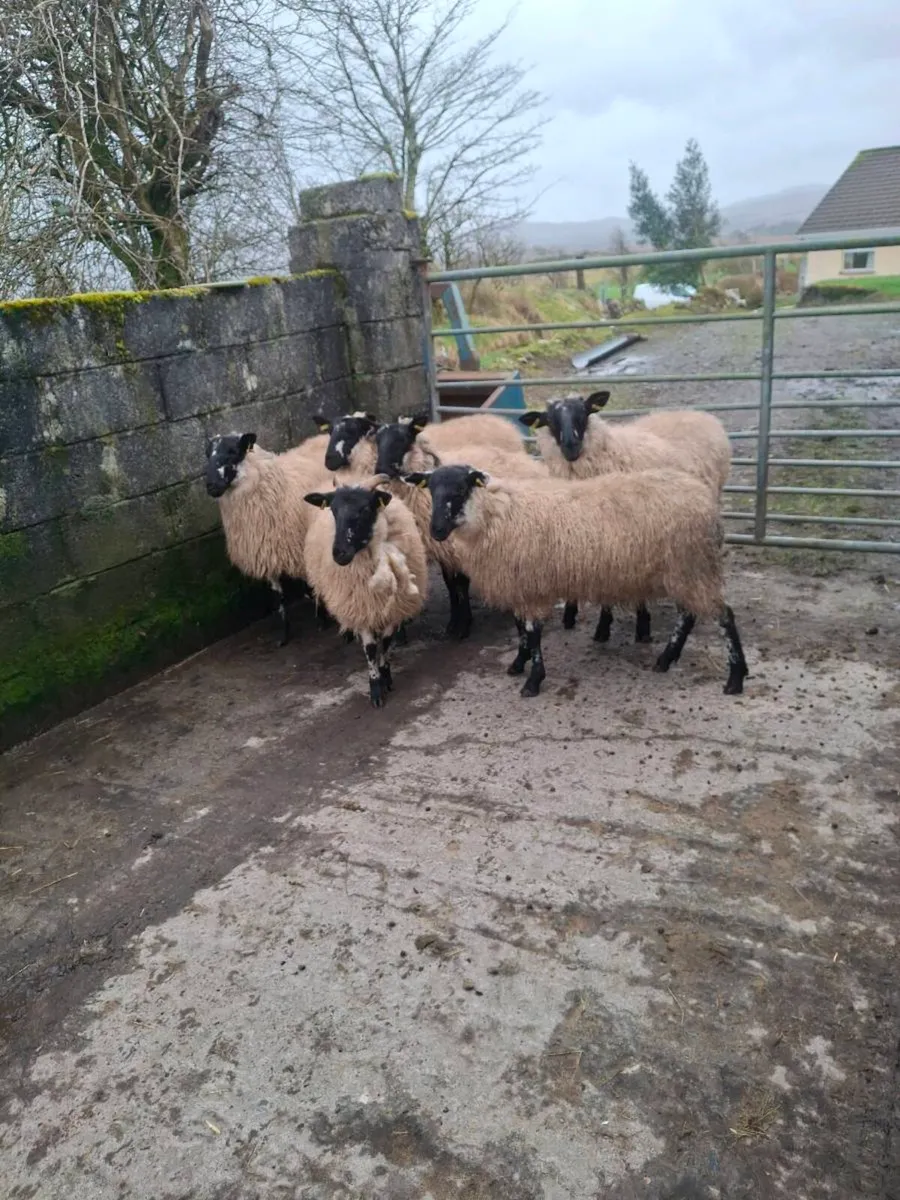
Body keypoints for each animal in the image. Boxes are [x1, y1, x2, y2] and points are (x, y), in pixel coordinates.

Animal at [204, 431, 333, 646]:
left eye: (233, 451)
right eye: (207, 455)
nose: (212, 486)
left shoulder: (303, 543)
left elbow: (312, 583)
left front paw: (322, 619)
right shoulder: (266, 550)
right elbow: (278, 597)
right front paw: (284, 636)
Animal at [303, 476, 428, 707]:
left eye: (365, 509)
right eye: (333, 510)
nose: (339, 554)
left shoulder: (392, 607)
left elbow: (386, 642)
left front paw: (386, 676)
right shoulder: (360, 605)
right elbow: (370, 648)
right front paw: (376, 689)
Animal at [374, 415, 547, 639]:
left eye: (403, 438)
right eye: (377, 441)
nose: (380, 470)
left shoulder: (455, 547)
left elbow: (460, 584)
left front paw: (462, 625)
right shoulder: (442, 547)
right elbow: (450, 584)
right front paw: (454, 622)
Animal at [403, 463, 748, 700]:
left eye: (461, 489)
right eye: (431, 489)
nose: (436, 531)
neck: (495, 517)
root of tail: (705, 500)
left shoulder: (532, 585)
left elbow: (533, 632)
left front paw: (533, 680)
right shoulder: (520, 585)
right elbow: (520, 629)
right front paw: (519, 662)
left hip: (693, 565)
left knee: (724, 617)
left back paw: (735, 677)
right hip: (683, 570)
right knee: (688, 614)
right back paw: (666, 659)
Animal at [521, 390, 731, 643]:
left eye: (584, 412)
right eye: (550, 421)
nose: (571, 446)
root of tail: (699, 414)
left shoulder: (623, 534)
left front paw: (622, 626)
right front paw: (572, 613)